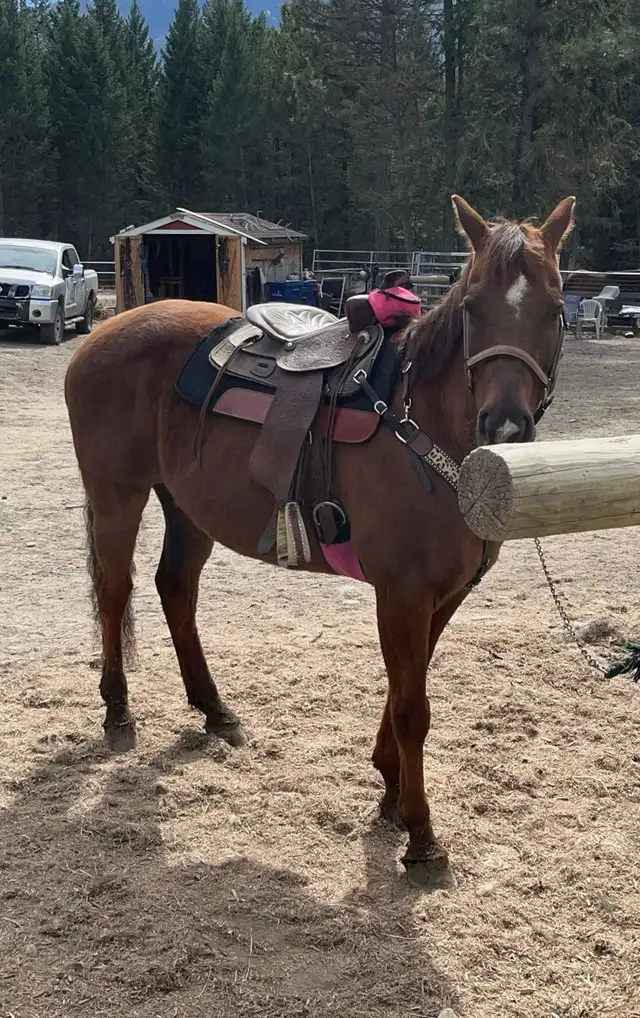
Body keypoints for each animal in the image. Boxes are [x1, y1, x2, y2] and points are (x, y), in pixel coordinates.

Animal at [64, 195, 575, 887]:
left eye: (554, 308)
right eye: (473, 306)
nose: (505, 426)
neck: (422, 426)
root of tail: (102, 334)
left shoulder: (442, 597)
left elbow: (405, 689)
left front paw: (390, 793)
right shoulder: (402, 594)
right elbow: (414, 710)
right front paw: (421, 838)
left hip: (189, 508)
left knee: (175, 588)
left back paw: (214, 709)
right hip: (119, 496)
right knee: (116, 592)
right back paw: (118, 712)